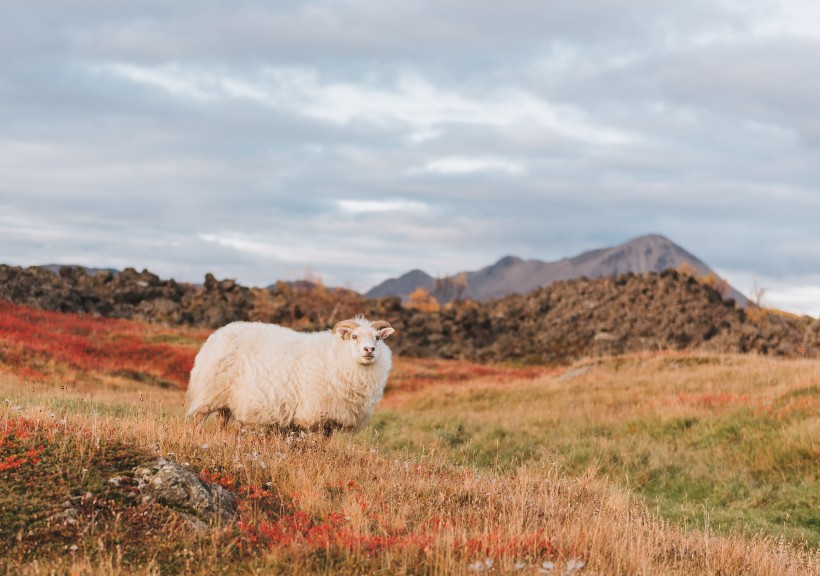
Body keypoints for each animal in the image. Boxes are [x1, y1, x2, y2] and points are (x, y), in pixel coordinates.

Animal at [185, 316, 394, 436]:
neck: (340, 355)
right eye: (354, 337)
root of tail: (218, 334)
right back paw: (196, 436)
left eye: (377, 337)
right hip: (210, 391)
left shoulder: (330, 417)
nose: (369, 350)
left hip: (226, 398)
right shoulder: (318, 414)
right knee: (199, 419)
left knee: (221, 421)